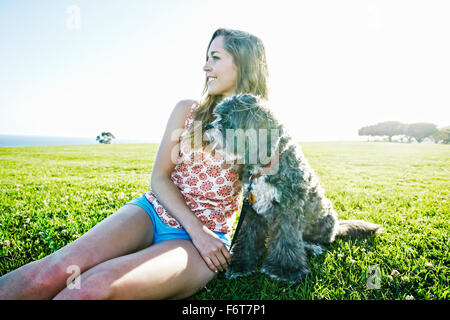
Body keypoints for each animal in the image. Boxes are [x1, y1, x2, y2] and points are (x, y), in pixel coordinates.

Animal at [206, 92, 382, 282]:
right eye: (217, 116)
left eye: (226, 119)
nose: (207, 126)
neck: (265, 165)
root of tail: (337, 227)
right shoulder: (253, 210)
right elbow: (248, 237)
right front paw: (241, 264)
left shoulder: (288, 209)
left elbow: (286, 240)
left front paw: (284, 270)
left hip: (325, 219)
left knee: (319, 240)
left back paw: (312, 247)